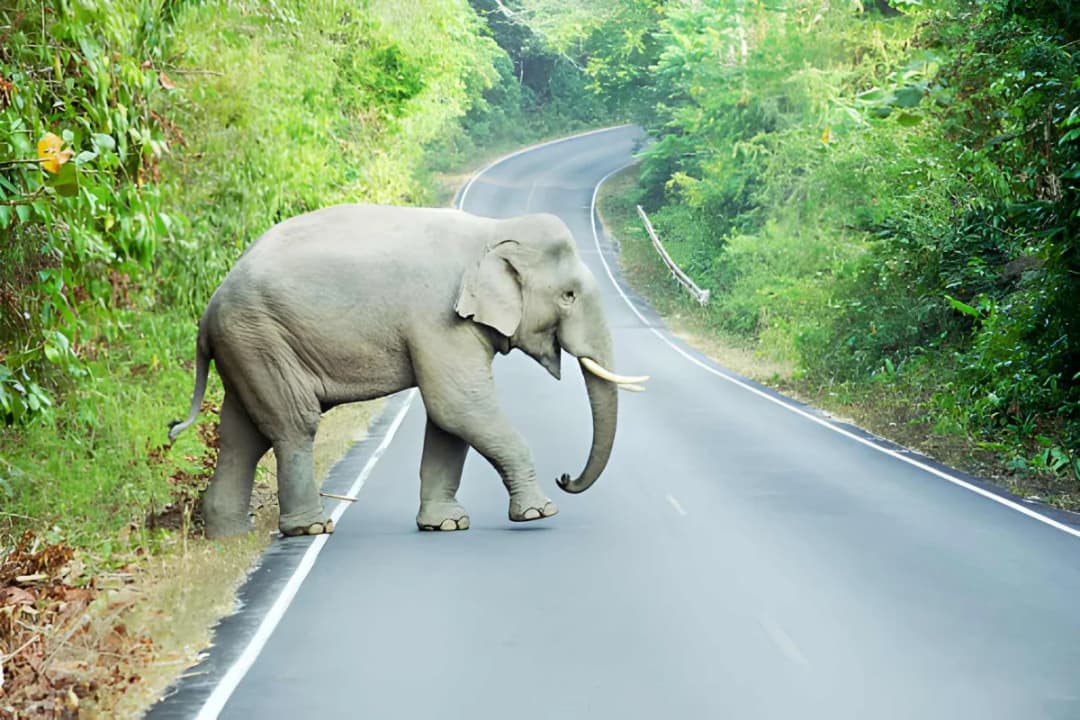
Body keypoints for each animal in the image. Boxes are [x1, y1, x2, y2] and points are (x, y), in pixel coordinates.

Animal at [167, 202, 648, 539]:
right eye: (568, 295)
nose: (565, 477)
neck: (492, 229)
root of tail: (209, 310)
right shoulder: (440, 319)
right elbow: (459, 406)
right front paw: (539, 513)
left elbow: (449, 421)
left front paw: (446, 525)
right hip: (262, 338)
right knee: (293, 424)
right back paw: (312, 528)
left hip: (247, 346)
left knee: (242, 436)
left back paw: (231, 535)